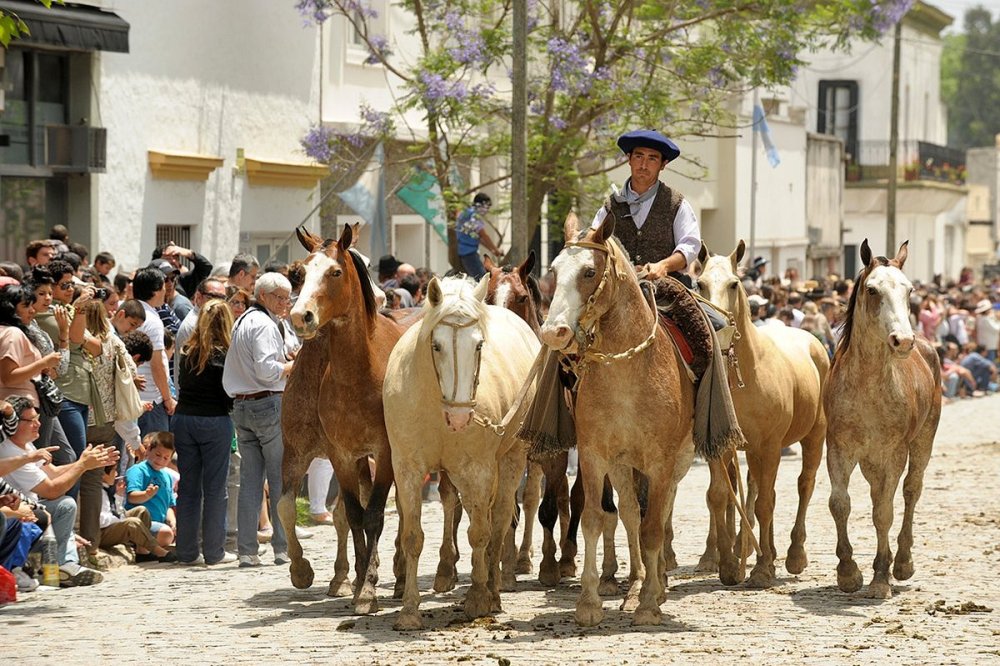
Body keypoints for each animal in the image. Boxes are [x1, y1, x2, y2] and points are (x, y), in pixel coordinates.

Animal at [278, 226, 406, 616]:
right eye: (298, 272)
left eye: (336, 271)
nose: (301, 316)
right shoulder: (333, 454)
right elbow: (349, 513)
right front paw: (353, 580)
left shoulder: (386, 452)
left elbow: (375, 515)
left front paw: (368, 590)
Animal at [540, 211, 704, 624]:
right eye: (553, 270)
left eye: (589, 271)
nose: (554, 333)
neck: (629, 373)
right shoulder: (595, 455)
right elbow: (595, 519)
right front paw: (589, 602)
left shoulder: (661, 462)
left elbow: (653, 528)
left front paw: (648, 604)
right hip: (622, 464)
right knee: (631, 513)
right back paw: (636, 582)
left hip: (675, 463)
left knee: (660, 514)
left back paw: (655, 586)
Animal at [696, 241, 828, 584]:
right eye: (699, 283)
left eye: (734, 284)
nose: (716, 328)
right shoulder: (721, 446)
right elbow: (720, 496)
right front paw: (729, 564)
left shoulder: (769, 447)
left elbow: (766, 504)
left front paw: (763, 567)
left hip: (814, 436)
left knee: (803, 485)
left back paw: (793, 555)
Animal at [824, 239, 940, 596]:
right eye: (872, 290)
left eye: (910, 290)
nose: (902, 341)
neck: (868, 385)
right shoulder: (839, 449)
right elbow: (840, 503)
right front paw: (848, 572)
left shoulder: (894, 453)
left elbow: (884, 513)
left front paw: (879, 579)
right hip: (870, 461)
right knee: (878, 494)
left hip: (922, 441)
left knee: (910, 490)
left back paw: (900, 563)